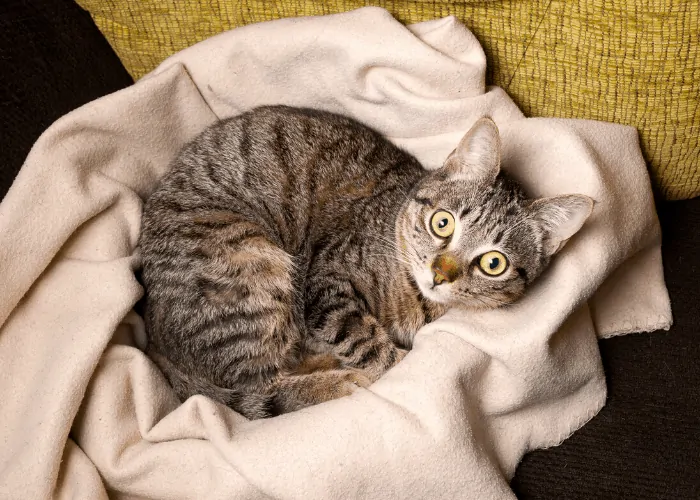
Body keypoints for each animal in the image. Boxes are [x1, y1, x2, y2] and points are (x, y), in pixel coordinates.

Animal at [139, 105, 592, 418]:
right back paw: (338, 381)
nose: (439, 274)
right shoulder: (327, 280)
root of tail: (155, 338)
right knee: (259, 389)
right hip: (250, 263)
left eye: (493, 263)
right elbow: (373, 347)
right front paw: (387, 361)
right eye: (442, 222)